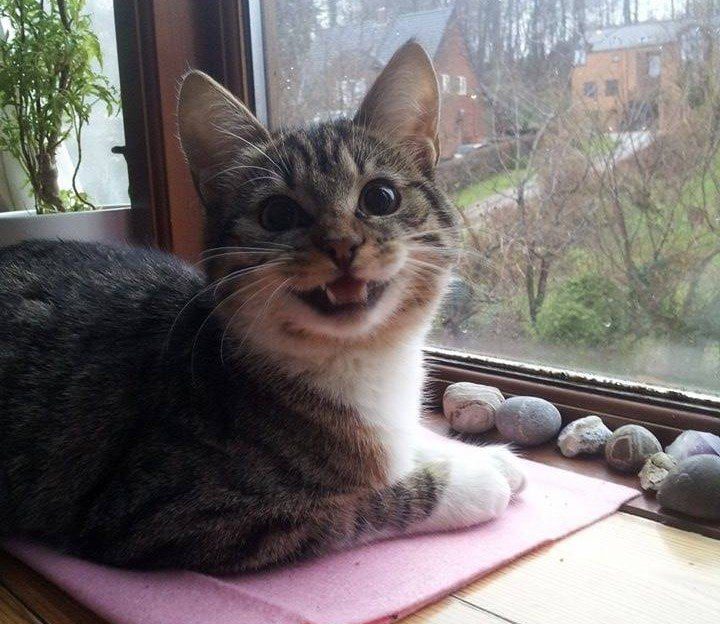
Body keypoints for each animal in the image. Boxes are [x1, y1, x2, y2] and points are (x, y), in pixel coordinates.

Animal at [0, 41, 524, 574]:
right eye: (277, 213)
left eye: (381, 197)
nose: (342, 244)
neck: (361, 359)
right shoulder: (166, 511)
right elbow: (358, 503)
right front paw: (473, 482)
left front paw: (479, 455)